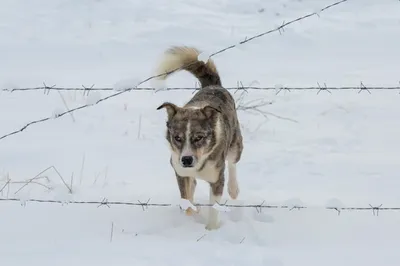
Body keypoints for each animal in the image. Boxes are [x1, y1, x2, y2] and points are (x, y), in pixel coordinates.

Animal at [155, 46, 244, 231]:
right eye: (177, 137)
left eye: (199, 137)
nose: (187, 159)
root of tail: (214, 86)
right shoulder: (180, 172)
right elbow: (186, 197)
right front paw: (189, 218)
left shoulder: (217, 177)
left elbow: (215, 205)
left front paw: (211, 229)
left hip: (235, 143)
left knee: (233, 162)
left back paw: (233, 189)